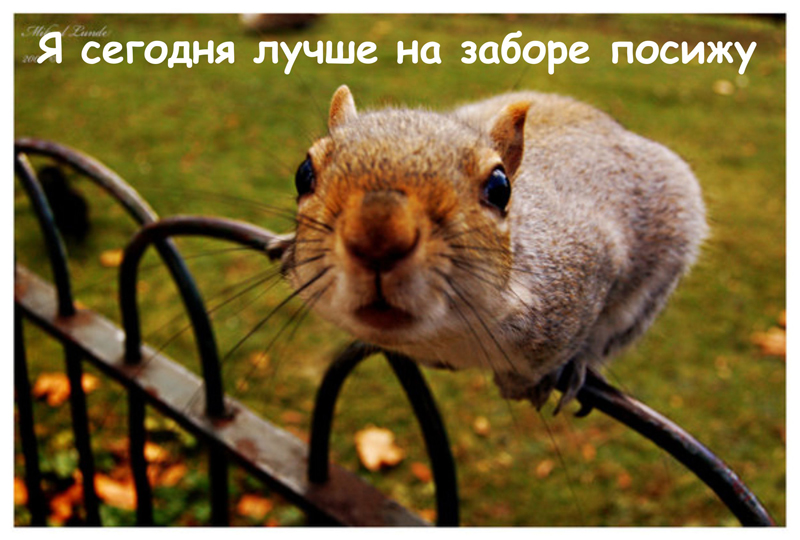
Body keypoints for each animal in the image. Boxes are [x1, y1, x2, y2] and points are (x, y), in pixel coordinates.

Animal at [283, 85, 707, 411]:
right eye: (303, 174)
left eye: (500, 188)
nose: (378, 237)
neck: (443, 337)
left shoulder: (590, 261)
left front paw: (556, 370)